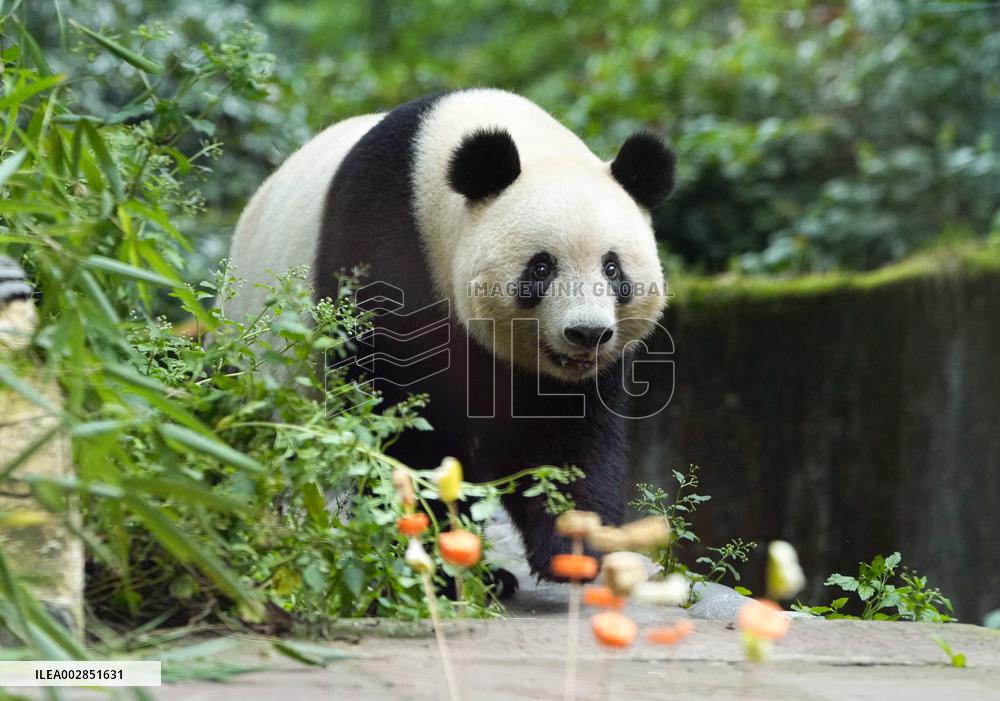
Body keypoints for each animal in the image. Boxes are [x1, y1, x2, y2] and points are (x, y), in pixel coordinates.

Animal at [226, 88, 674, 584]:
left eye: (612, 269)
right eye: (541, 268)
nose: (587, 333)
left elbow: (568, 432)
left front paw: (576, 546)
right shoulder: (383, 243)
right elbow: (403, 423)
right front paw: (435, 560)